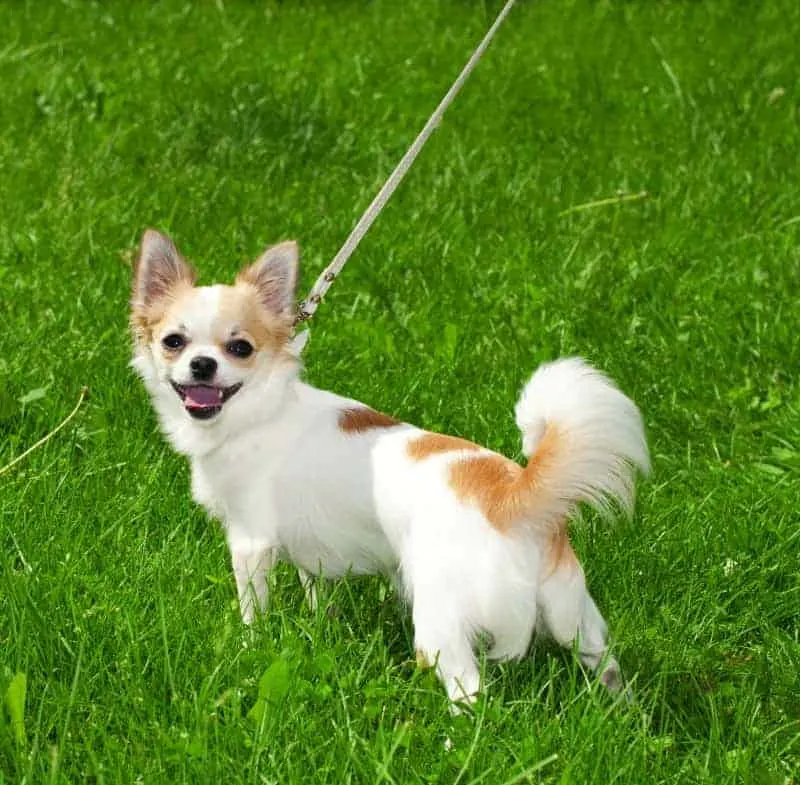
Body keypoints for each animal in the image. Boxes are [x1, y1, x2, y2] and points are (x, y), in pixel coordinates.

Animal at [131, 228, 648, 704]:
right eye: (173, 342)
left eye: (240, 348)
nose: (202, 365)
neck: (260, 410)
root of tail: (512, 492)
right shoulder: (312, 549)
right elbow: (317, 592)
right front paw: (320, 631)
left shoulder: (251, 541)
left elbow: (252, 608)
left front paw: (248, 647)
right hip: (570, 612)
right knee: (604, 662)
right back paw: (623, 714)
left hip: (440, 621)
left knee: (469, 690)